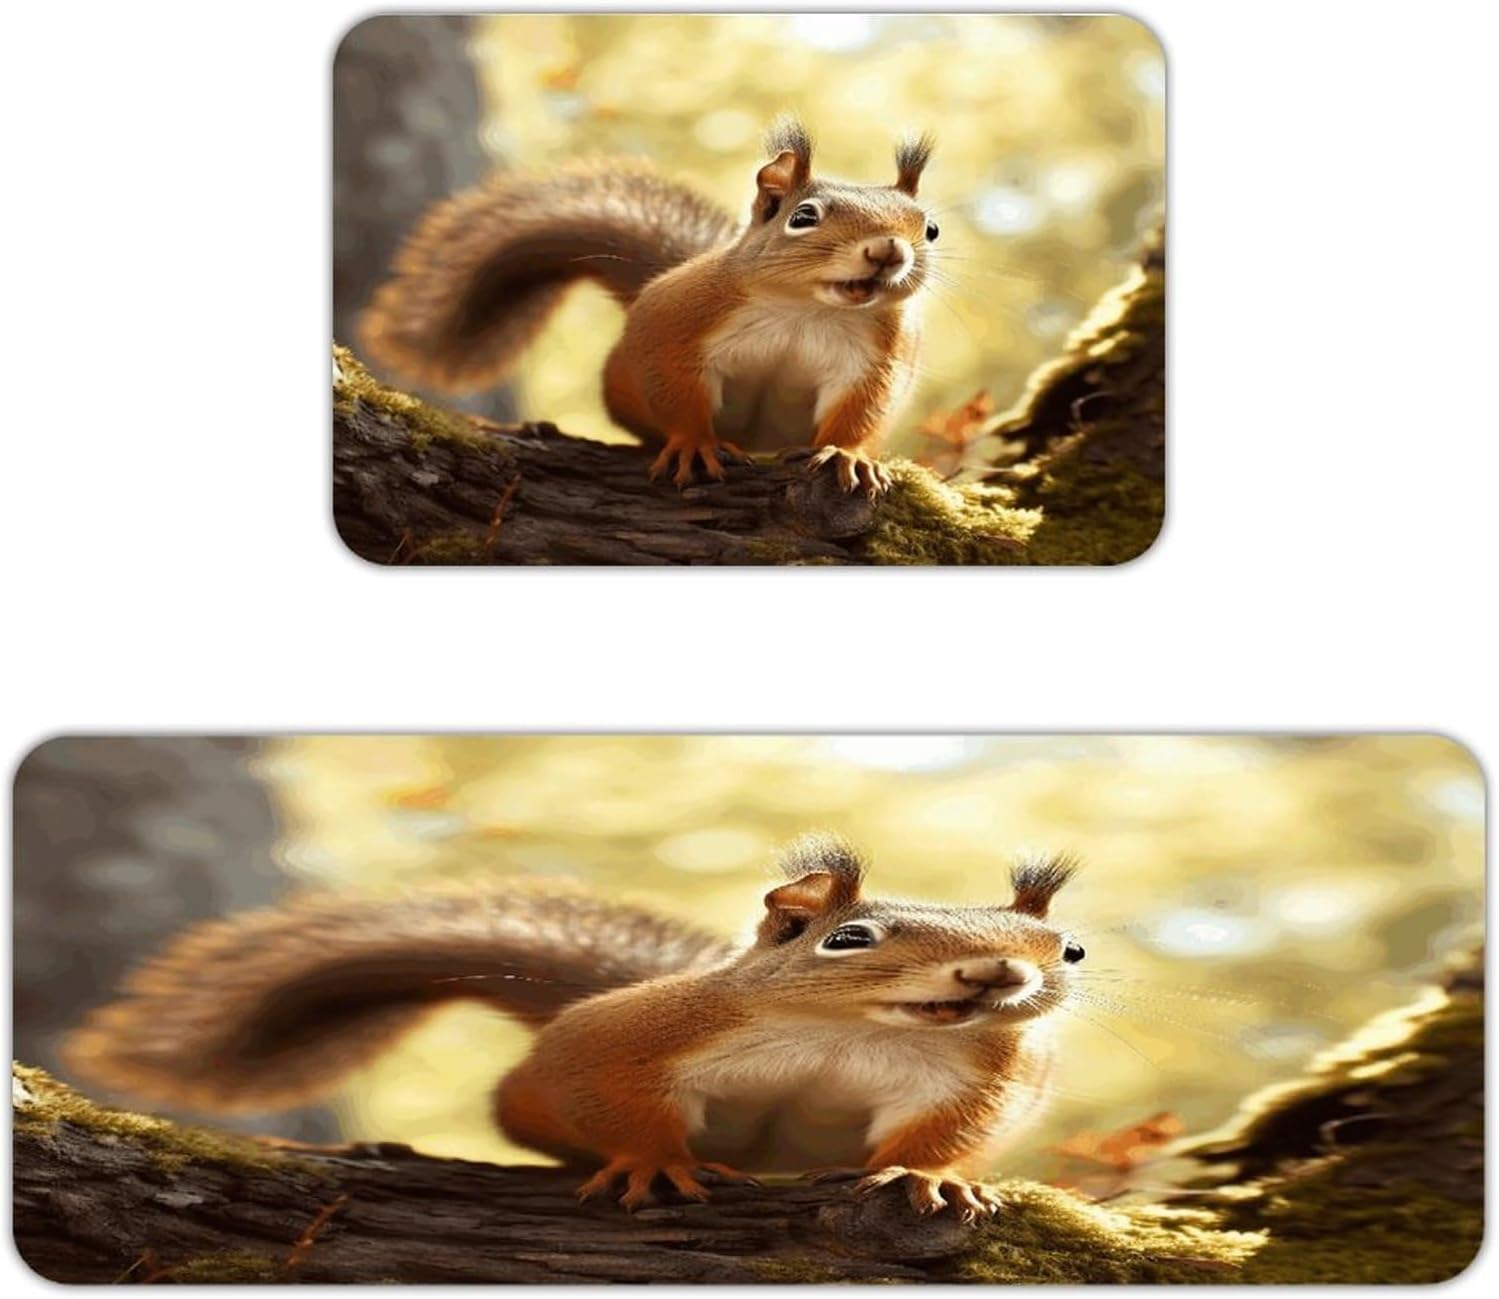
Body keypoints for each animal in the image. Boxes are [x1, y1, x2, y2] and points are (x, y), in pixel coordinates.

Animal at [64, 834, 1082, 1218]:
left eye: (1064, 948)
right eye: (849, 937)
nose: (1001, 973)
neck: (855, 1030)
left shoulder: (987, 1075)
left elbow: (945, 1131)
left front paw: (927, 1175)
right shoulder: (633, 1036)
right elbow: (617, 1094)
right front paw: (651, 1161)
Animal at [358, 120, 939, 496]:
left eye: (929, 228)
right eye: (803, 217)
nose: (888, 251)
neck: (807, 308)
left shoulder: (880, 356)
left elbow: (861, 409)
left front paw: (848, 455)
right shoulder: (677, 321)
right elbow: (675, 385)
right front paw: (693, 444)